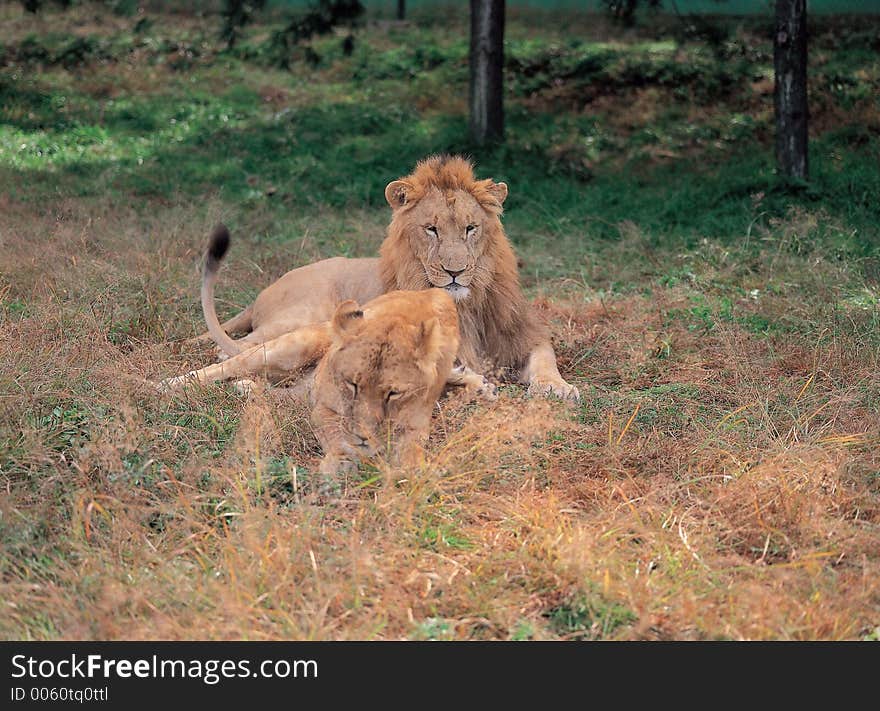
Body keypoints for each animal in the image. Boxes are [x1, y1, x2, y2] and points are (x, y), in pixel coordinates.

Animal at [198, 155, 576, 400]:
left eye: (471, 228)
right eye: (431, 229)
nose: (455, 272)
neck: (464, 306)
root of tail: (264, 292)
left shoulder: (519, 334)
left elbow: (544, 358)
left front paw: (557, 386)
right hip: (298, 319)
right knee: (234, 353)